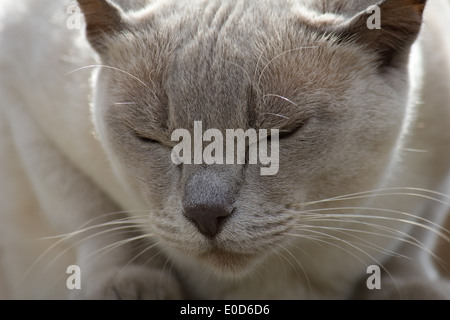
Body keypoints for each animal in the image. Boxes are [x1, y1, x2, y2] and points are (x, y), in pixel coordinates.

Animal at [0, 0, 450, 300]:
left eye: (279, 134)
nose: (205, 214)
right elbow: (93, 216)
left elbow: (413, 239)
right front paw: (130, 284)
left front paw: (407, 288)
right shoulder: (24, 100)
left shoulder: (433, 170)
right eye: (153, 139)